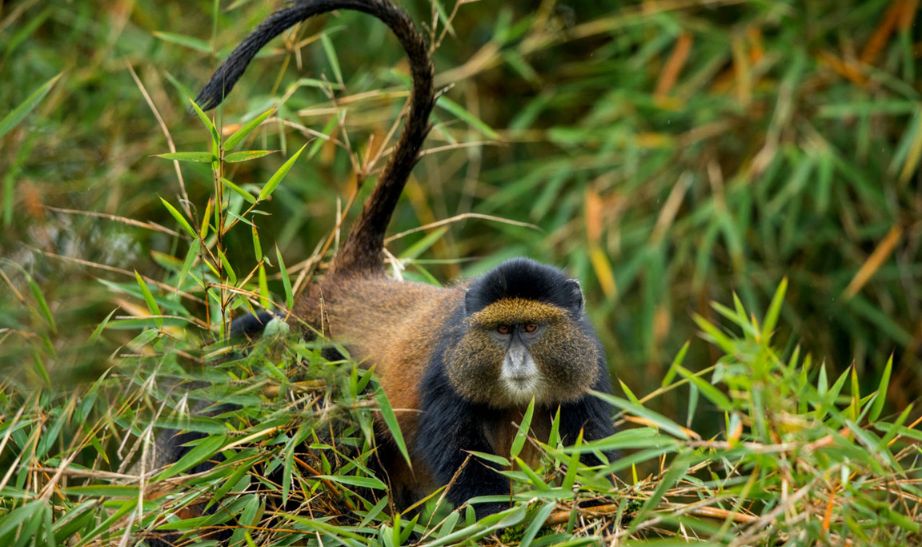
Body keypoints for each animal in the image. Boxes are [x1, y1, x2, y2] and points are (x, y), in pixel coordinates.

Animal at [186, 0, 618, 518]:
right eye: (500, 331)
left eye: (531, 328)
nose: (515, 359)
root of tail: (353, 278)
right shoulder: (444, 377)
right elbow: (463, 460)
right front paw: (495, 519)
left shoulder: (587, 372)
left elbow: (590, 451)